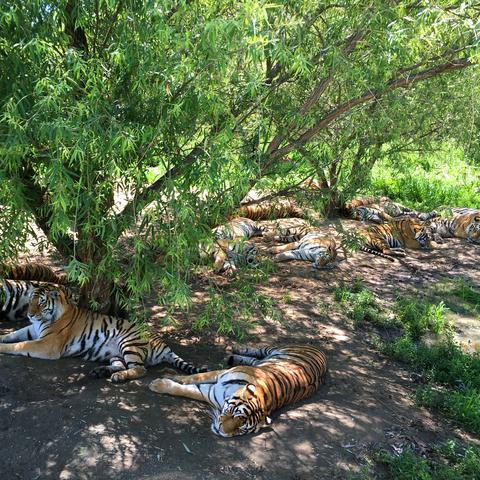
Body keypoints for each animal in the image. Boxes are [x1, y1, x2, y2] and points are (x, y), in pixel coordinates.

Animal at [0, 284, 204, 382]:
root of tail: (163, 343)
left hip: (128, 343)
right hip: (114, 352)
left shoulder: (47, 344)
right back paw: (100, 371)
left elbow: (19, 345)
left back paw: (118, 377)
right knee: (121, 365)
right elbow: (13, 335)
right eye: (30, 300)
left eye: (41, 302)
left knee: (140, 369)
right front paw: (2, 337)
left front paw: (3, 347)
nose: (30, 314)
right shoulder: (31, 330)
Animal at [152, 344, 328, 436]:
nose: (221, 431)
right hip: (272, 350)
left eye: (241, 429)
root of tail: (320, 350)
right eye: (233, 413)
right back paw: (236, 348)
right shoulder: (219, 374)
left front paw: (160, 383)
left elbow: (187, 389)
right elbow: (195, 377)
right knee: (257, 351)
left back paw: (232, 356)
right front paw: (160, 382)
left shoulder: (208, 392)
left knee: (253, 359)